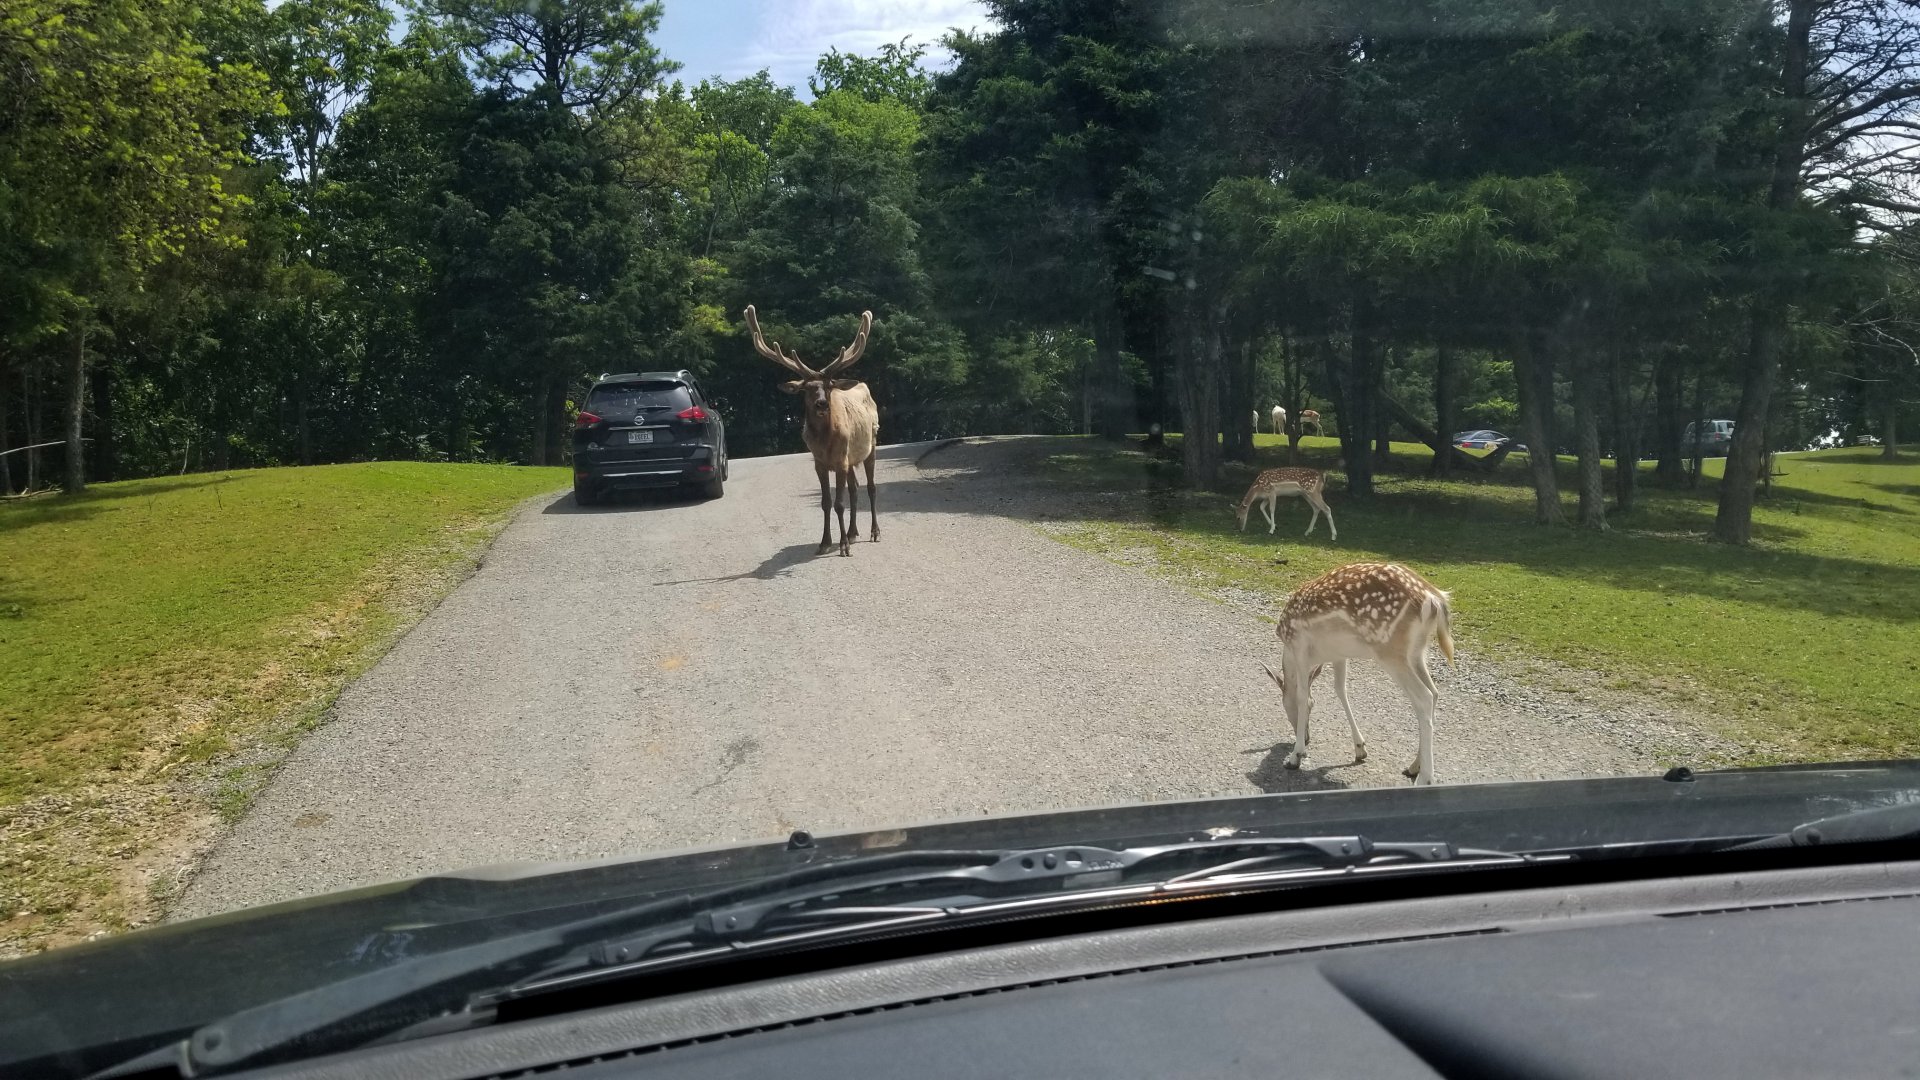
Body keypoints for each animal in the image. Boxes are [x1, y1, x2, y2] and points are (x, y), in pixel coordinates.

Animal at [744, 305, 879, 557]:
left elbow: (838, 503)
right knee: (855, 488)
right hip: (851, 457)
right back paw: (854, 532)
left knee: (871, 488)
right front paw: (825, 542)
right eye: (806, 388)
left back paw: (874, 532)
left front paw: (843, 546)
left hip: (871, 445)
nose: (822, 404)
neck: (825, 441)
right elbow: (825, 503)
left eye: (829, 386)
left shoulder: (840, 461)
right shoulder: (819, 462)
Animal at [1260, 562, 1456, 785]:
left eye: (1284, 705)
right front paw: (1360, 749)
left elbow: (1302, 696)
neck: (1289, 652)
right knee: (1435, 692)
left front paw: (1295, 757)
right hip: (1417, 652)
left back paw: (1425, 778)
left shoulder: (1300, 648)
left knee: (1424, 697)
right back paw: (1413, 766)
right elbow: (1340, 689)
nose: (1308, 738)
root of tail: (1434, 599)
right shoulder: (1339, 655)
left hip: (1389, 650)